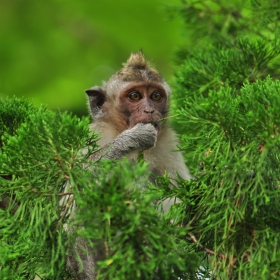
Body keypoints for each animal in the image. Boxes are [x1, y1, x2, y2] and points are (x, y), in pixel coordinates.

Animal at [66, 52, 191, 278]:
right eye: (134, 96)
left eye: (156, 96)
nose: (149, 110)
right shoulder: (95, 136)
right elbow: (76, 182)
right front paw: (132, 138)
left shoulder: (168, 145)